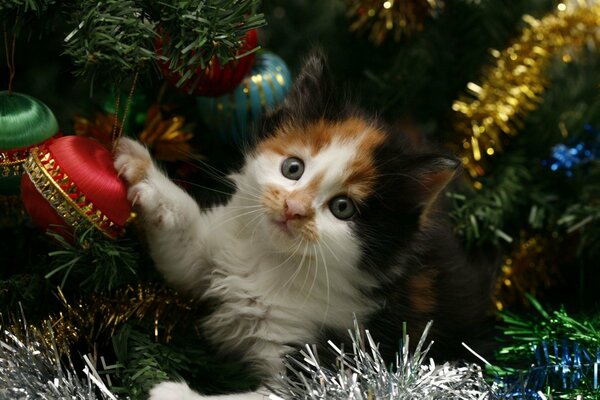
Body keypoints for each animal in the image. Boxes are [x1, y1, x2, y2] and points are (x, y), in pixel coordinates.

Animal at [115, 50, 494, 400]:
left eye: (343, 207)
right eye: (293, 168)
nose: (293, 208)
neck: (276, 263)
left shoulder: (329, 360)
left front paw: (171, 392)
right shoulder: (211, 256)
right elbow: (185, 247)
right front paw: (141, 170)